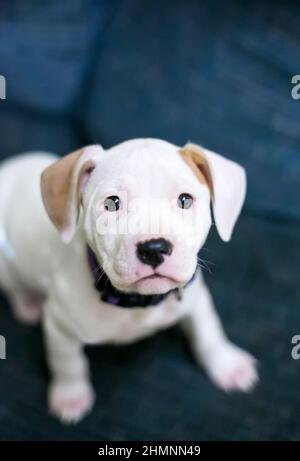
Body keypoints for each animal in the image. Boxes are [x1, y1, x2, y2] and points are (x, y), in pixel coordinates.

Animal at [0, 138, 258, 422]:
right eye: (113, 203)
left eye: (185, 200)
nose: (154, 248)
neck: (139, 304)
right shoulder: (59, 325)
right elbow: (67, 363)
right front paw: (71, 396)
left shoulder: (195, 297)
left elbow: (208, 330)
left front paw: (226, 364)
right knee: (13, 287)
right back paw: (28, 305)